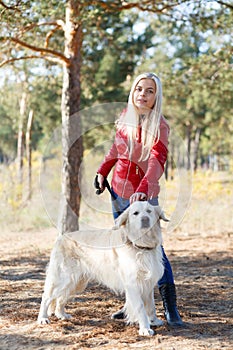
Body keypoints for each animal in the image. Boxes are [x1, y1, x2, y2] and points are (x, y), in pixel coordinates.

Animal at [36, 200, 167, 336]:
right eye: (135, 213)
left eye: (149, 211)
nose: (145, 219)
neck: (141, 246)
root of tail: (61, 237)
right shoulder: (133, 284)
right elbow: (141, 308)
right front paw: (145, 328)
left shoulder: (148, 283)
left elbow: (151, 305)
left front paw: (154, 321)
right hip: (63, 278)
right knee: (46, 297)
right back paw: (42, 318)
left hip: (76, 282)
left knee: (61, 297)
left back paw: (61, 314)